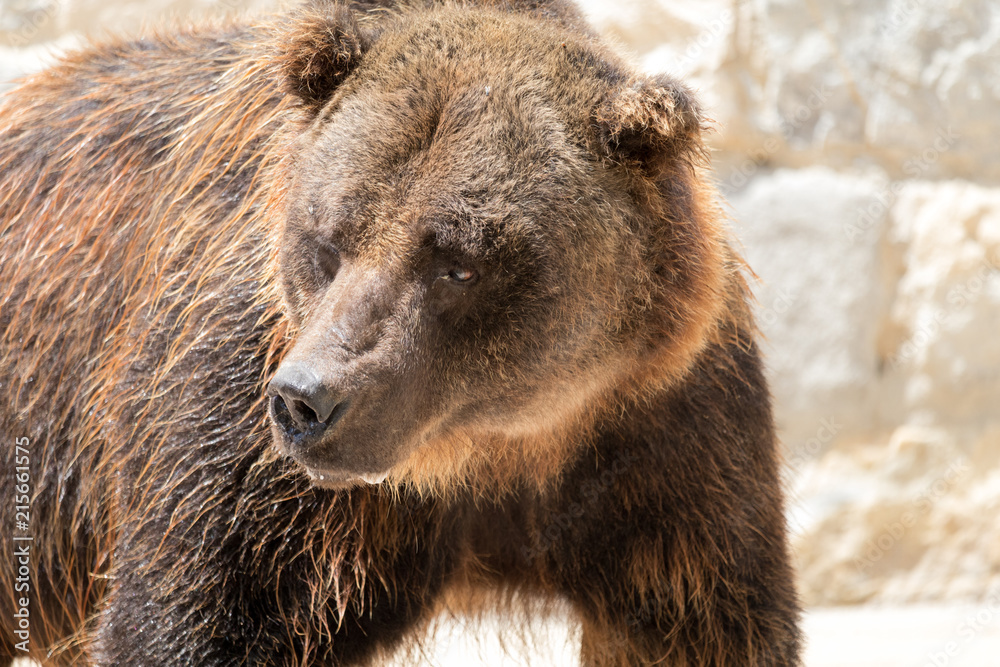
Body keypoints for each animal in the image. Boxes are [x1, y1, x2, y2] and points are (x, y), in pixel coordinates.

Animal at [0, 0, 802, 665]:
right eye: (330, 236)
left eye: (457, 262)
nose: (307, 398)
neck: (491, 451)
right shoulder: (248, 448)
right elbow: (191, 615)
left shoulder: (661, 441)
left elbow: (701, 623)